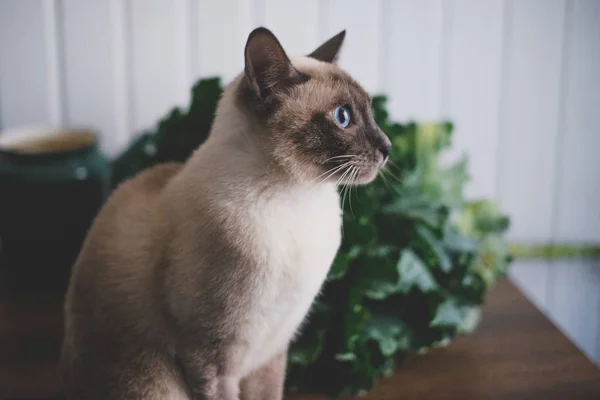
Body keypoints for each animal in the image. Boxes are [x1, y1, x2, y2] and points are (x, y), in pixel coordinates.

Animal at [59, 26, 390, 398]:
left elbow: (269, 393)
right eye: (343, 117)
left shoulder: (273, 351)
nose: (388, 148)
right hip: (153, 383)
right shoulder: (213, 358)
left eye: (371, 113)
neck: (296, 197)